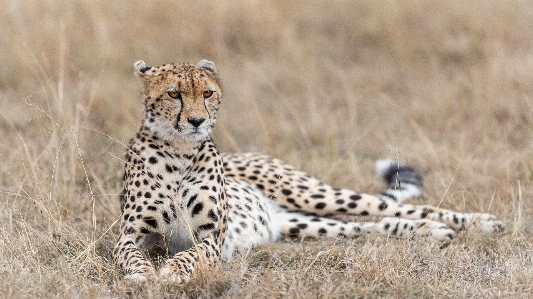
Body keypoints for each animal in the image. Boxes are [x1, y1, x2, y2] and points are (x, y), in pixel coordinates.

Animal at [112, 59, 502, 284]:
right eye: (173, 94)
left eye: (207, 93)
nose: (196, 121)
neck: (179, 151)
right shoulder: (129, 235)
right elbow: (130, 254)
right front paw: (143, 273)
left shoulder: (211, 236)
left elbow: (190, 254)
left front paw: (173, 271)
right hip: (299, 223)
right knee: (367, 226)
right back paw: (430, 232)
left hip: (309, 194)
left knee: (398, 207)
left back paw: (479, 223)